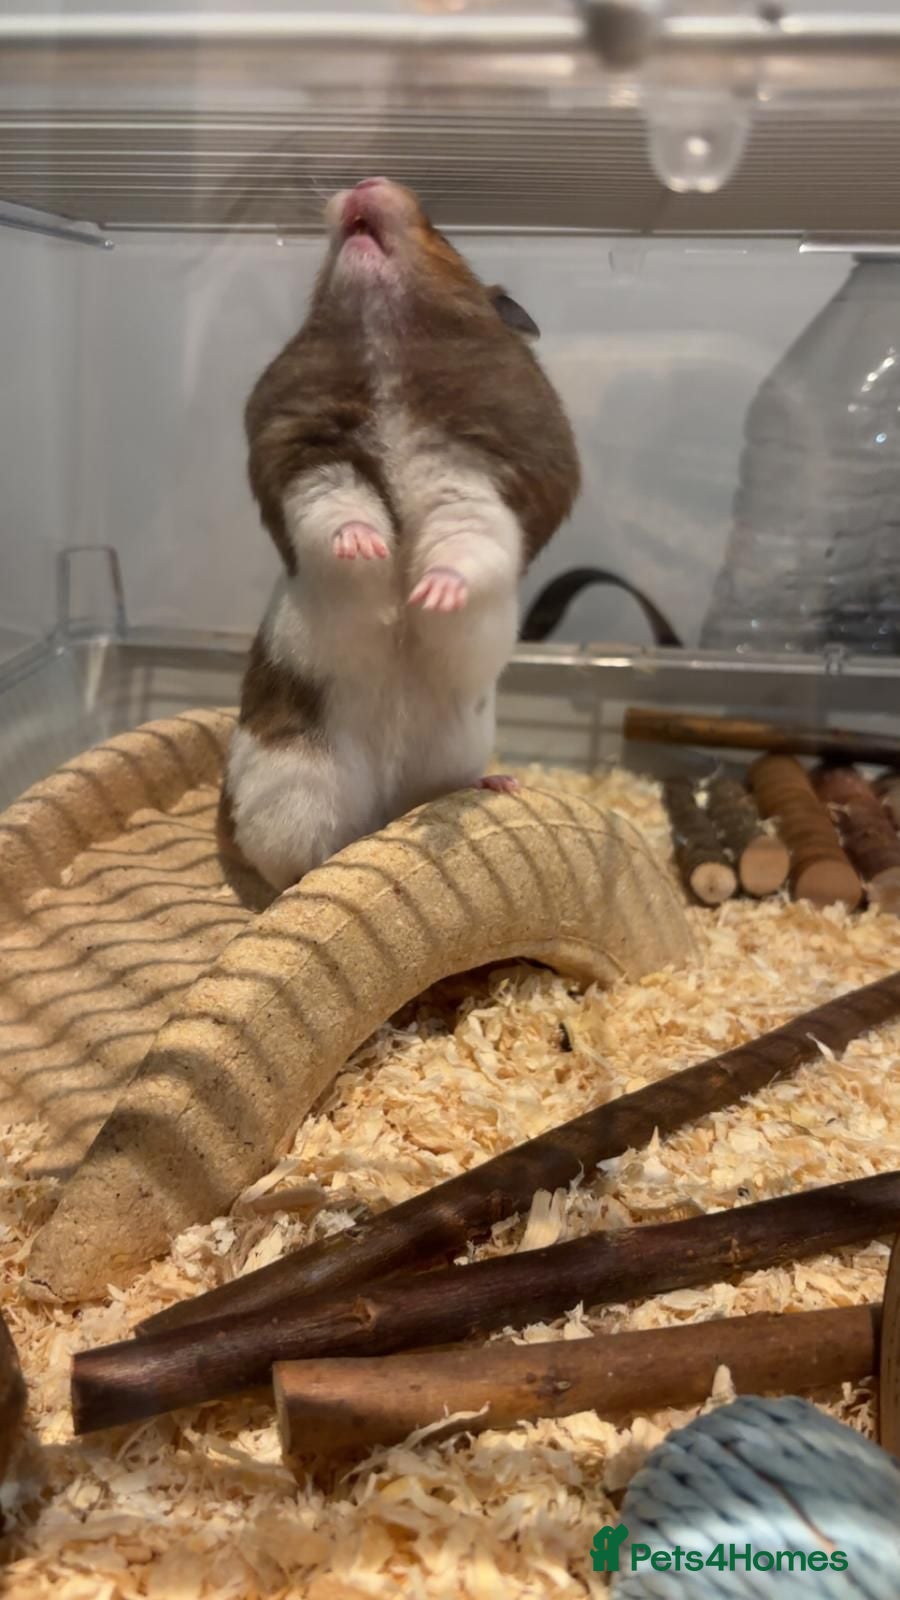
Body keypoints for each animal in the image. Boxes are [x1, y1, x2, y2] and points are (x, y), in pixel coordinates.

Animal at [221, 177, 580, 892]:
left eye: (438, 227)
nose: (364, 182)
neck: (385, 358)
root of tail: (387, 804)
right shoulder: (317, 466)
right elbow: (340, 512)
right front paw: (375, 549)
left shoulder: (469, 492)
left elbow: (465, 548)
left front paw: (427, 595)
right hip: (300, 792)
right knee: (297, 862)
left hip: (446, 763)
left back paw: (500, 783)